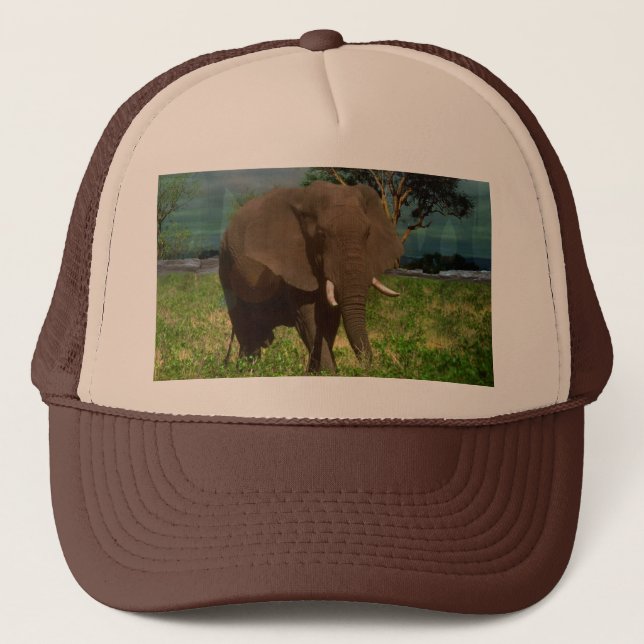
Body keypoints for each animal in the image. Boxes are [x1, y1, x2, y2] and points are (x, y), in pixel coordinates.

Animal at [219, 180, 404, 373]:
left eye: (368, 233)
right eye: (321, 235)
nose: (366, 370)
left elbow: (329, 321)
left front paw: (315, 373)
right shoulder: (293, 264)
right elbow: (309, 319)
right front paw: (328, 373)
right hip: (226, 265)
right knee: (248, 332)